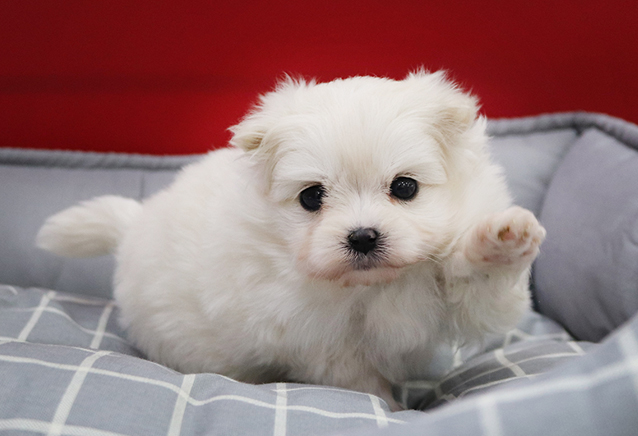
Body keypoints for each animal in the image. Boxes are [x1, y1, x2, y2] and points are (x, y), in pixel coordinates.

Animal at [37, 71, 545, 411]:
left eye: (405, 188)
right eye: (311, 197)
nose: (363, 236)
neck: (375, 285)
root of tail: (135, 223)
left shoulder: (462, 298)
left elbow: (484, 296)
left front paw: (502, 242)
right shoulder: (318, 339)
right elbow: (360, 380)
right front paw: (392, 408)